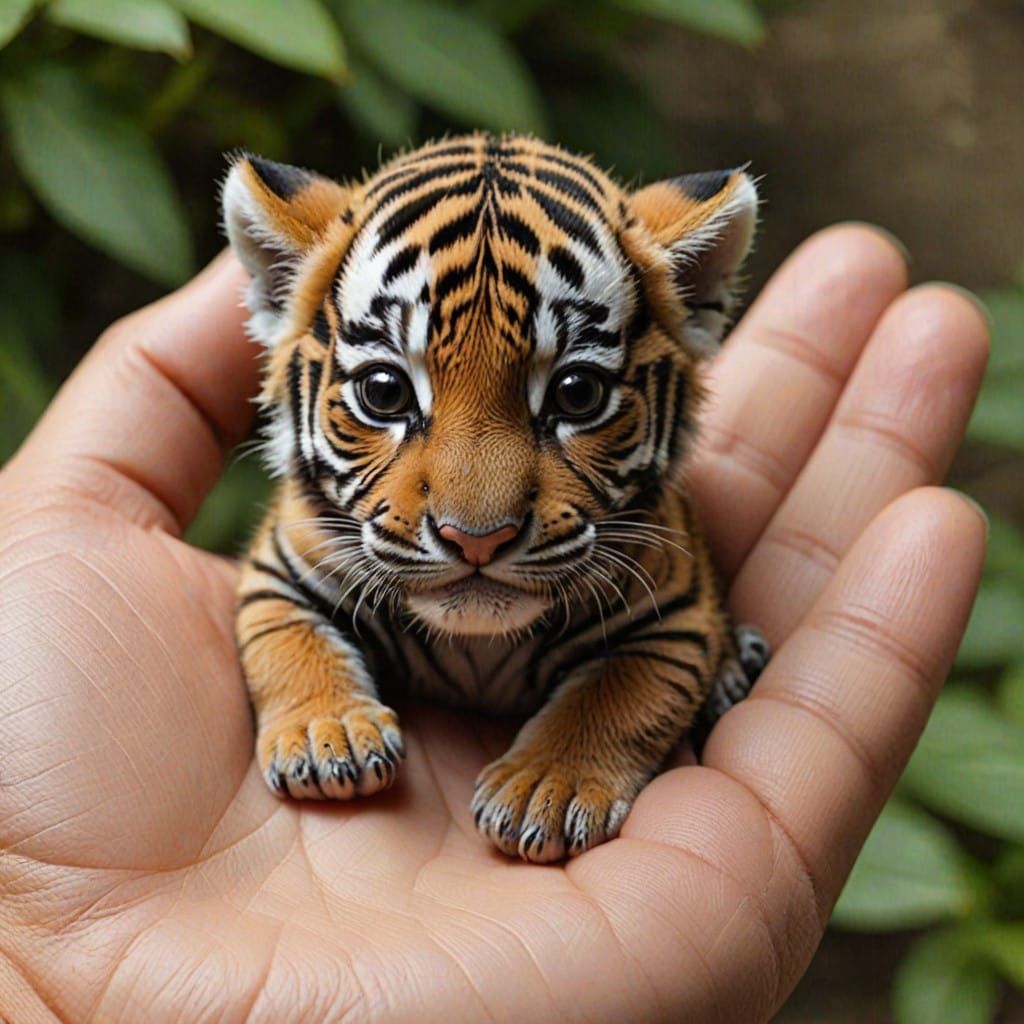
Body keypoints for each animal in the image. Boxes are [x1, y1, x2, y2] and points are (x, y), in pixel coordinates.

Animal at [222, 133, 770, 863]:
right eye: (384, 392)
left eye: (576, 394)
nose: (476, 539)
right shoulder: (279, 571)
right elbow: (287, 641)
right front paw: (327, 735)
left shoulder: (672, 616)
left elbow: (616, 696)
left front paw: (547, 790)